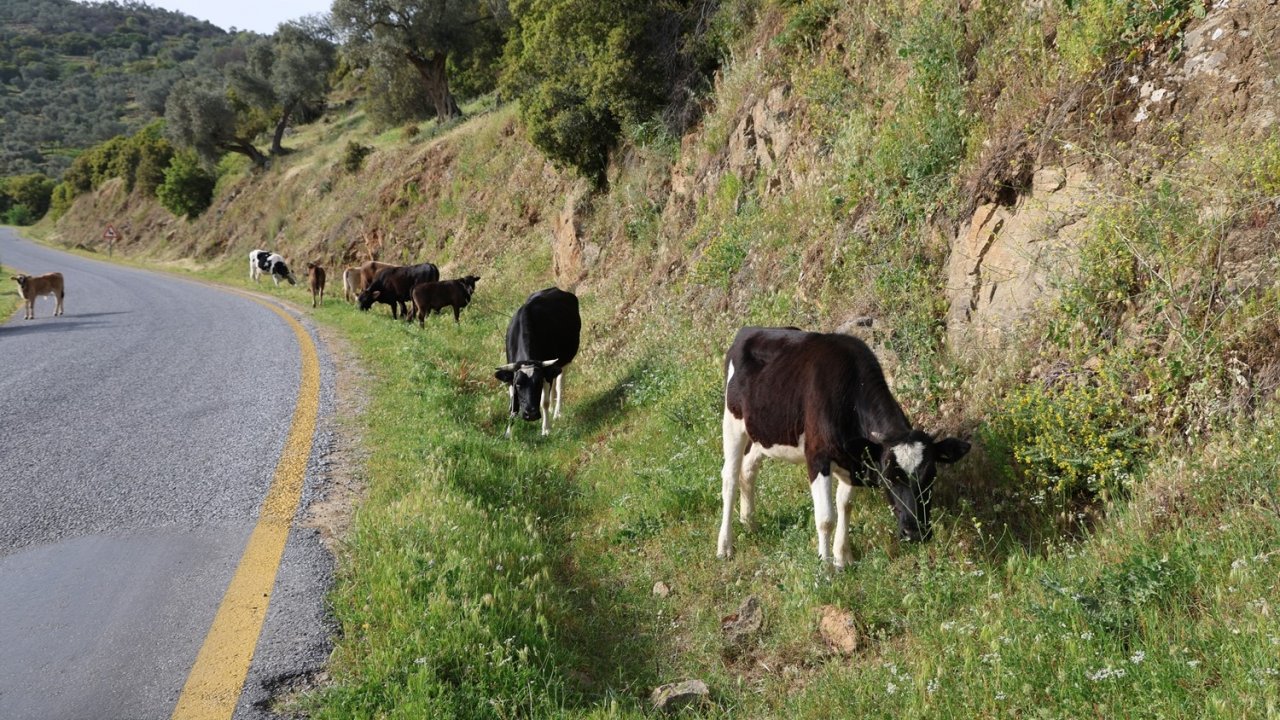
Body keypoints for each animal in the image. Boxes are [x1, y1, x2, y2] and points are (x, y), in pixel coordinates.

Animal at [494, 286, 581, 435]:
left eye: (538, 382)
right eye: (518, 385)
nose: (531, 415)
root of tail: (556, 289)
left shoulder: (545, 375)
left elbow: (544, 402)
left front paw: (546, 429)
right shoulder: (511, 376)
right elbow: (513, 405)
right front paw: (508, 433)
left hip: (565, 360)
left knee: (559, 385)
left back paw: (557, 412)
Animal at [721, 325, 967, 566]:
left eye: (931, 476)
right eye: (888, 478)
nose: (915, 533)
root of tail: (748, 330)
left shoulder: (852, 460)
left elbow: (845, 505)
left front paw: (842, 558)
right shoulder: (817, 457)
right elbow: (826, 518)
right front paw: (825, 567)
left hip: (761, 432)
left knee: (748, 470)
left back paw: (749, 523)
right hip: (732, 422)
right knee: (730, 477)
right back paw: (725, 546)